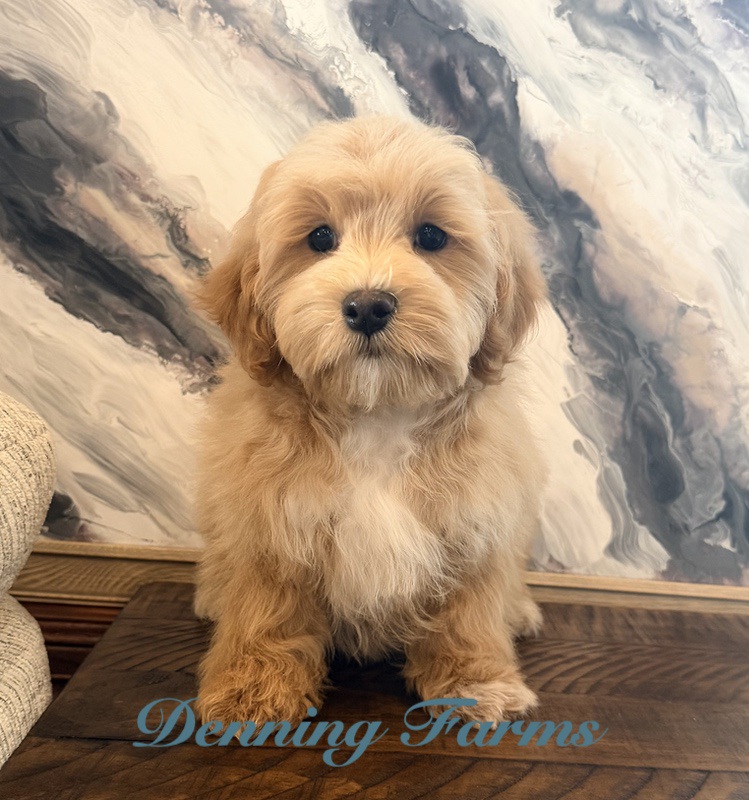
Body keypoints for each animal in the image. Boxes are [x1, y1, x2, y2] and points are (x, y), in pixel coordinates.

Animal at [193, 115, 547, 727]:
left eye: (431, 237)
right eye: (319, 239)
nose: (367, 305)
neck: (377, 414)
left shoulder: (474, 517)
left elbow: (468, 610)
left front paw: (476, 681)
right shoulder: (269, 517)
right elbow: (266, 610)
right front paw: (251, 691)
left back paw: (518, 610)